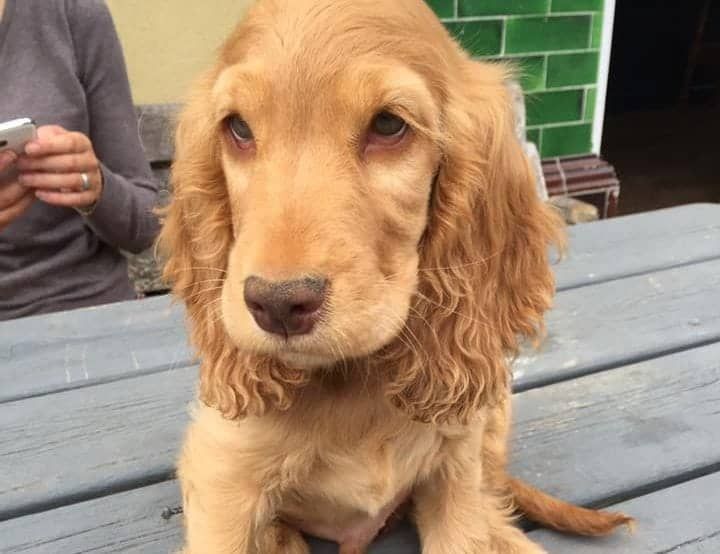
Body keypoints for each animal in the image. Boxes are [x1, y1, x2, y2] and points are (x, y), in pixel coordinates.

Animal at [160, 1, 632, 552]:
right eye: (238, 129)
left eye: (388, 125)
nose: (277, 304)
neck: (351, 382)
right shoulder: (223, 477)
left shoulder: (455, 468)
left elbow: (465, 525)